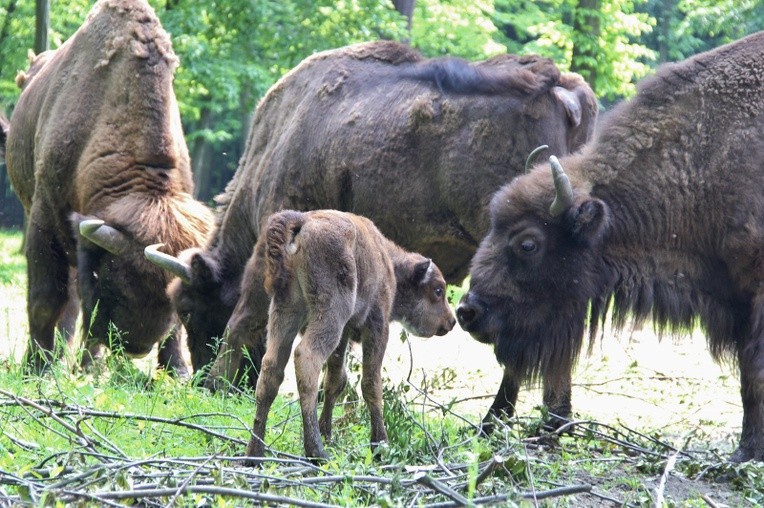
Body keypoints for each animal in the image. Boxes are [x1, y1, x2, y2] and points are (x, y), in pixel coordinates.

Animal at [7, 0, 213, 374]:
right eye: (116, 282)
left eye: (170, 296)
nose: (136, 347)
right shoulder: (45, 221)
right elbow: (46, 298)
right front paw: (36, 367)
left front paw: (176, 371)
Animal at [248, 210, 454, 460]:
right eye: (438, 290)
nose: (451, 321)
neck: (389, 264)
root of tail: (301, 222)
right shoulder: (376, 325)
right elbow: (371, 383)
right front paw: (380, 445)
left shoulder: (344, 333)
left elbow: (335, 381)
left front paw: (328, 433)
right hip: (329, 315)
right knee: (307, 358)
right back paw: (316, 451)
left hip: (286, 310)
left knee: (271, 369)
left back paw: (255, 453)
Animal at [456, 30, 764, 460]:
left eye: (528, 244)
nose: (467, 311)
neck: (705, 156)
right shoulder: (736, 298)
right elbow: (749, 378)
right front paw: (746, 451)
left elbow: (756, 373)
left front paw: (748, 452)